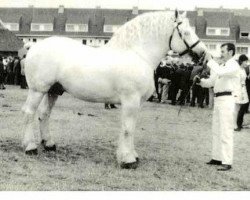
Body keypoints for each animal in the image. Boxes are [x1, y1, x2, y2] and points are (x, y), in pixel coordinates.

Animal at [21, 10, 206, 168]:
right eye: (186, 32)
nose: (203, 53)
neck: (137, 54)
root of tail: (34, 46)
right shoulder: (131, 101)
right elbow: (128, 128)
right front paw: (128, 160)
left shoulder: (136, 103)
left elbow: (130, 128)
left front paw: (130, 155)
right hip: (38, 90)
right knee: (29, 113)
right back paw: (30, 147)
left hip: (53, 91)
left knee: (44, 114)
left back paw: (49, 144)